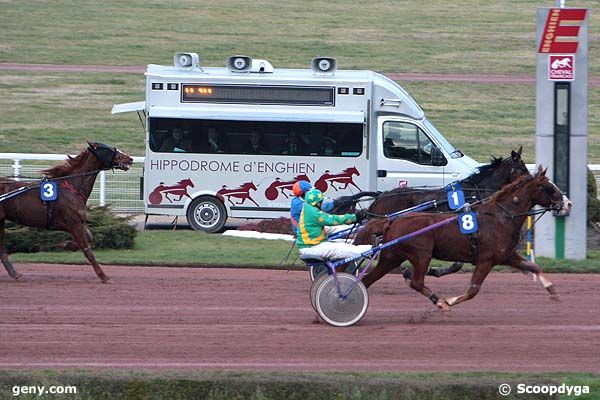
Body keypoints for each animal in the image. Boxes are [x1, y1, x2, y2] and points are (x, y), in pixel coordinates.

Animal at [0, 142, 134, 282]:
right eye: (109, 149)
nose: (130, 159)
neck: (72, 187)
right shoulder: (74, 223)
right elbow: (88, 251)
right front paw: (103, 276)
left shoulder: (78, 222)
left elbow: (90, 237)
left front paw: (66, 244)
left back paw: (14, 273)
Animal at [358, 166, 568, 310]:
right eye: (549, 188)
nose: (567, 203)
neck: (501, 216)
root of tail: (392, 220)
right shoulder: (486, 259)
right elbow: (473, 290)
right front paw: (450, 301)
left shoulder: (507, 255)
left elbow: (534, 267)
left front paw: (553, 292)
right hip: (421, 255)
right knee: (416, 282)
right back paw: (439, 301)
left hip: (392, 256)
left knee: (368, 279)